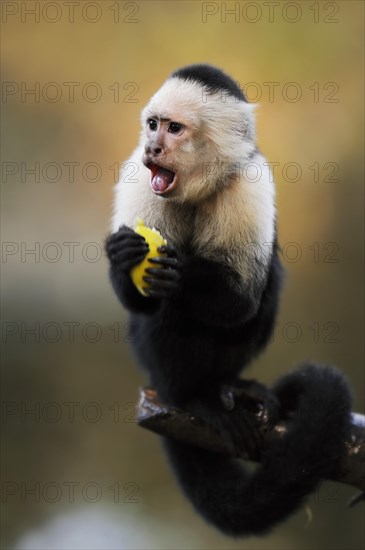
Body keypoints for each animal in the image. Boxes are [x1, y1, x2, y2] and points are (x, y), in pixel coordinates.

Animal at [106, 64, 352, 540]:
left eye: (174, 129)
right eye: (152, 125)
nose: (153, 147)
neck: (195, 189)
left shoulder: (251, 182)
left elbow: (240, 299)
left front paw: (182, 272)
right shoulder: (137, 178)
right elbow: (141, 304)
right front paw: (124, 258)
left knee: (263, 283)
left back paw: (225, 386)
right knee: (165, 318)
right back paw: (191, 396)